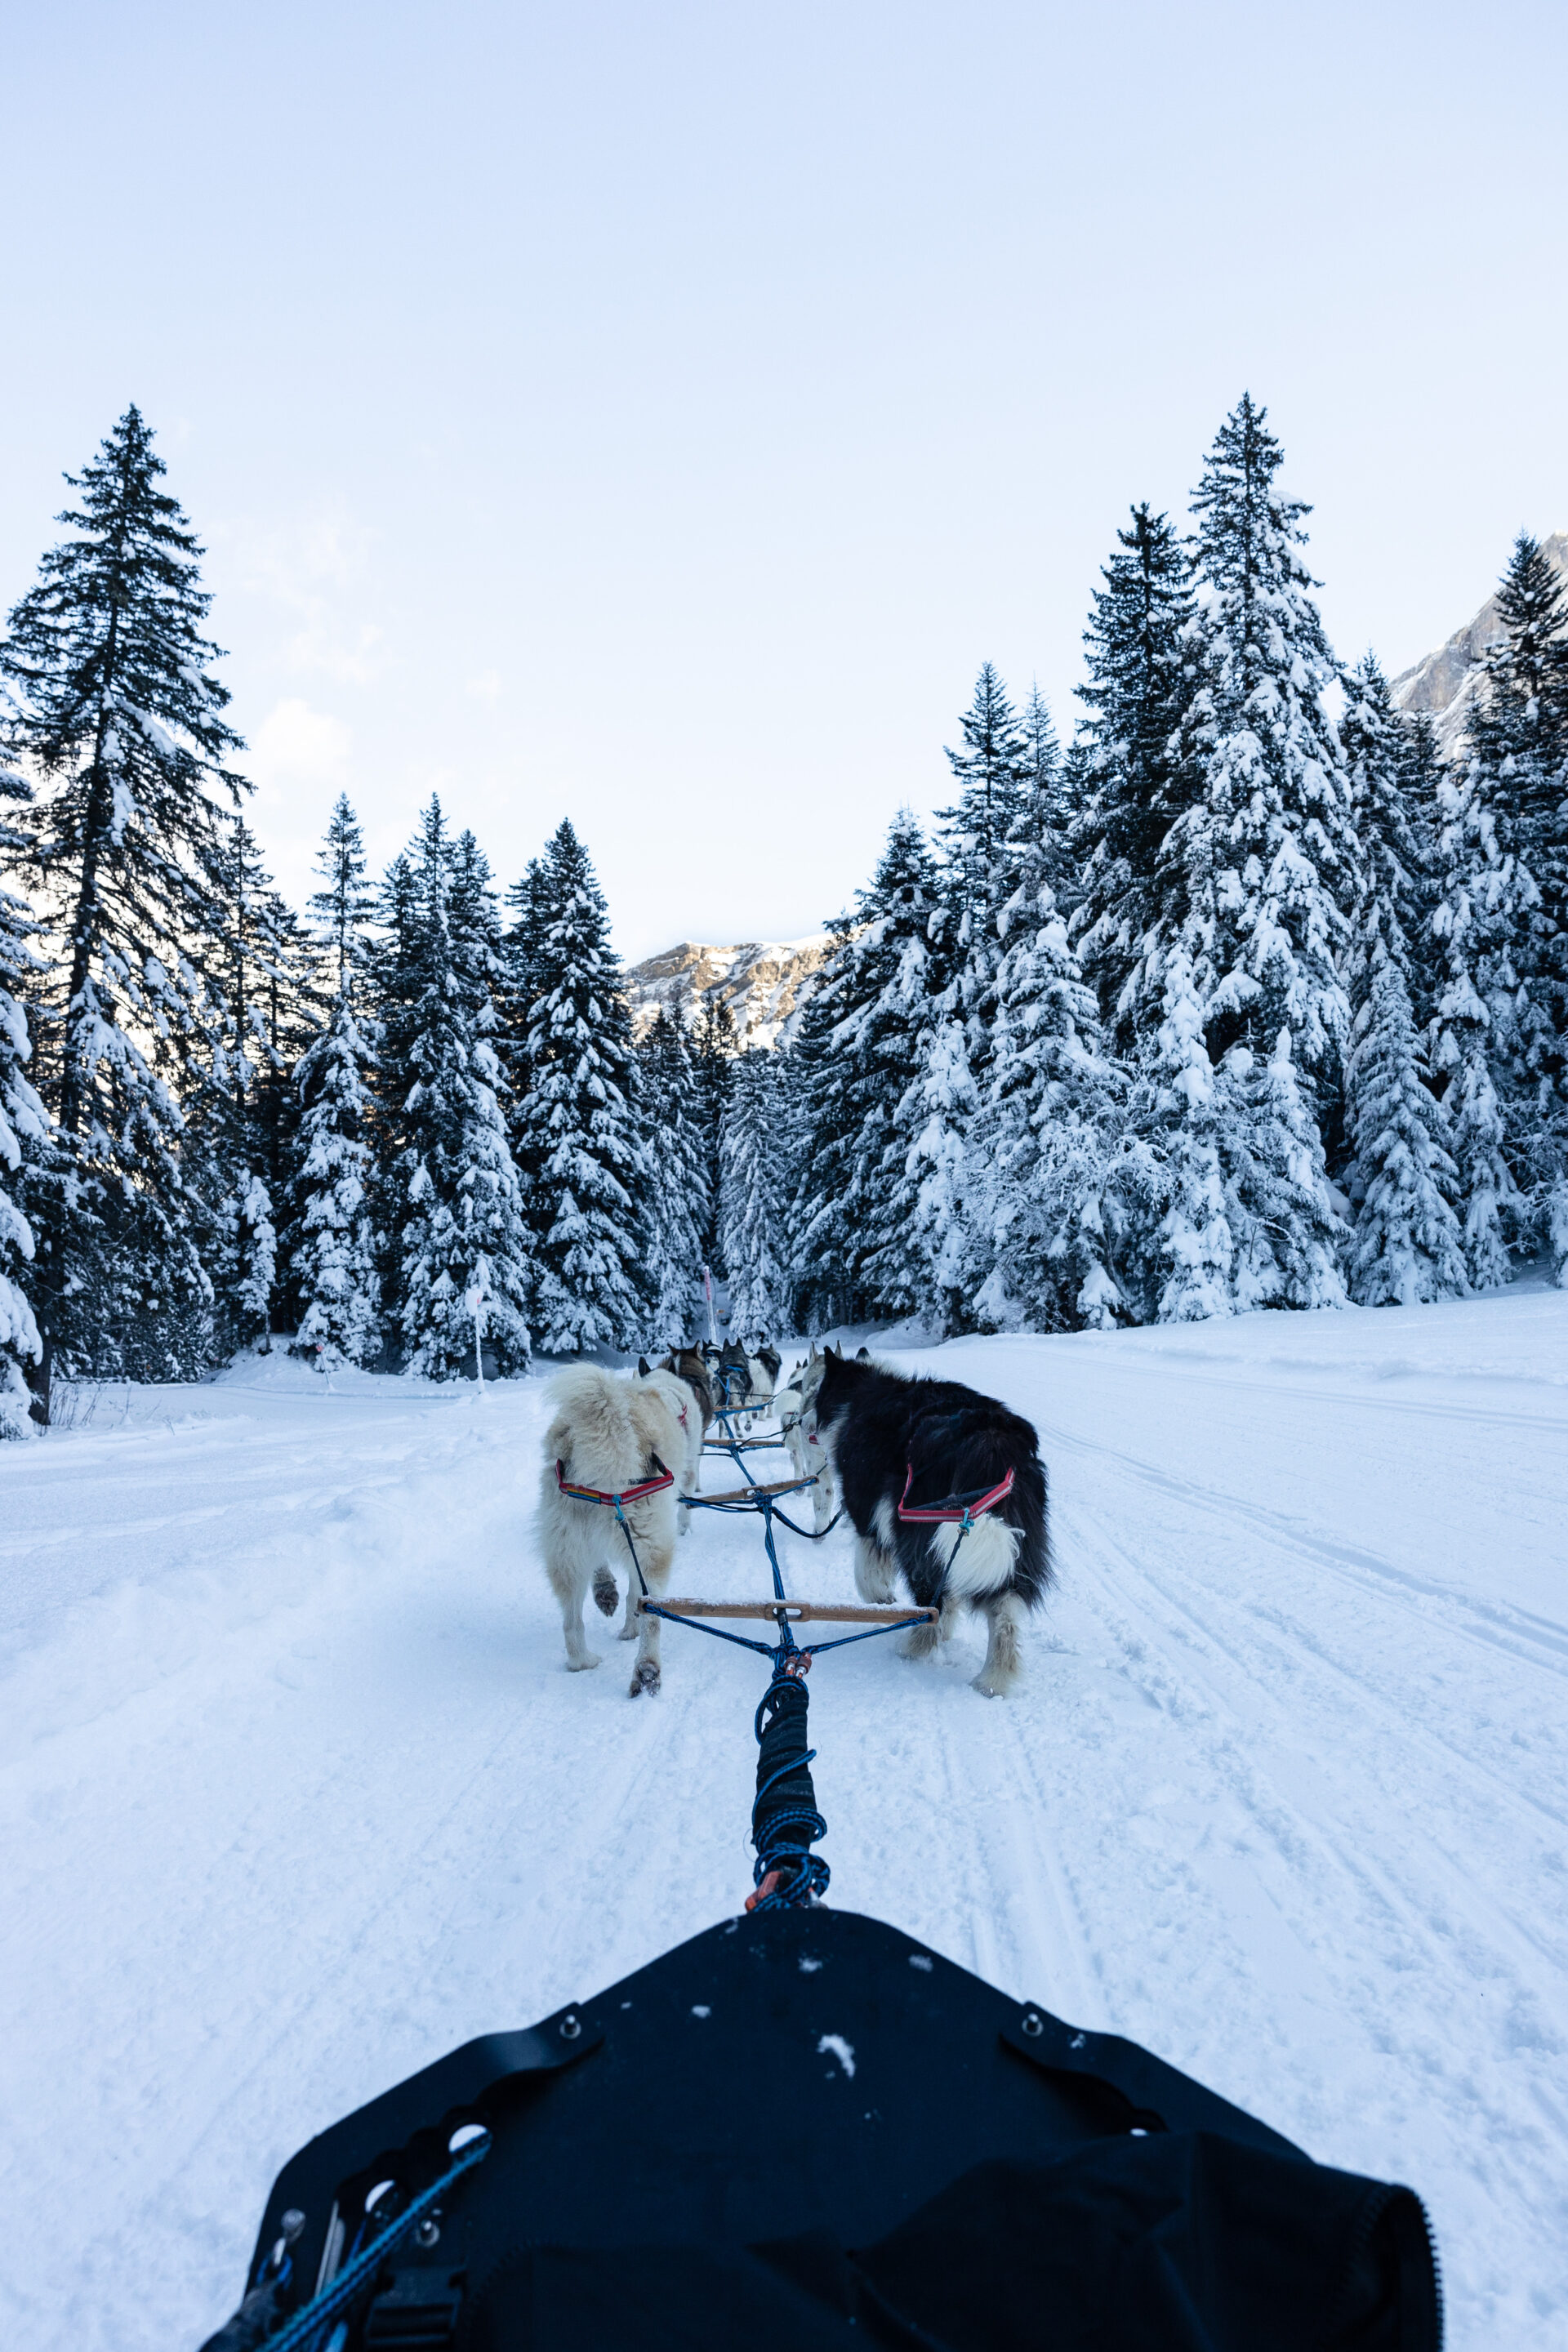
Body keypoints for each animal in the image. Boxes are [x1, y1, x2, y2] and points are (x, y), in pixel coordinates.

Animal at [542, 1364, 710, 1693]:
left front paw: (610, 1595)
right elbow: (637, 1596)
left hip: (568, 1548)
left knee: (571, 1621)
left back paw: (583, 1659)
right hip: (649, 1544)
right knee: (652, 1614)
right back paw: (647, 1667)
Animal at [804, 1345, 1048, 1693]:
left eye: (817, 1395)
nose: (802, 1423)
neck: (860, 1394)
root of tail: (991, 1437)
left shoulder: (866, 1513)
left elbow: (866, 1572)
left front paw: (881, 1599)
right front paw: (946, 1631)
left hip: (918, 1533)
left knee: (931, 1599)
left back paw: (914, 1645)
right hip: (1012, 1542)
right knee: (1005, 1611)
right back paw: (993, 1680)